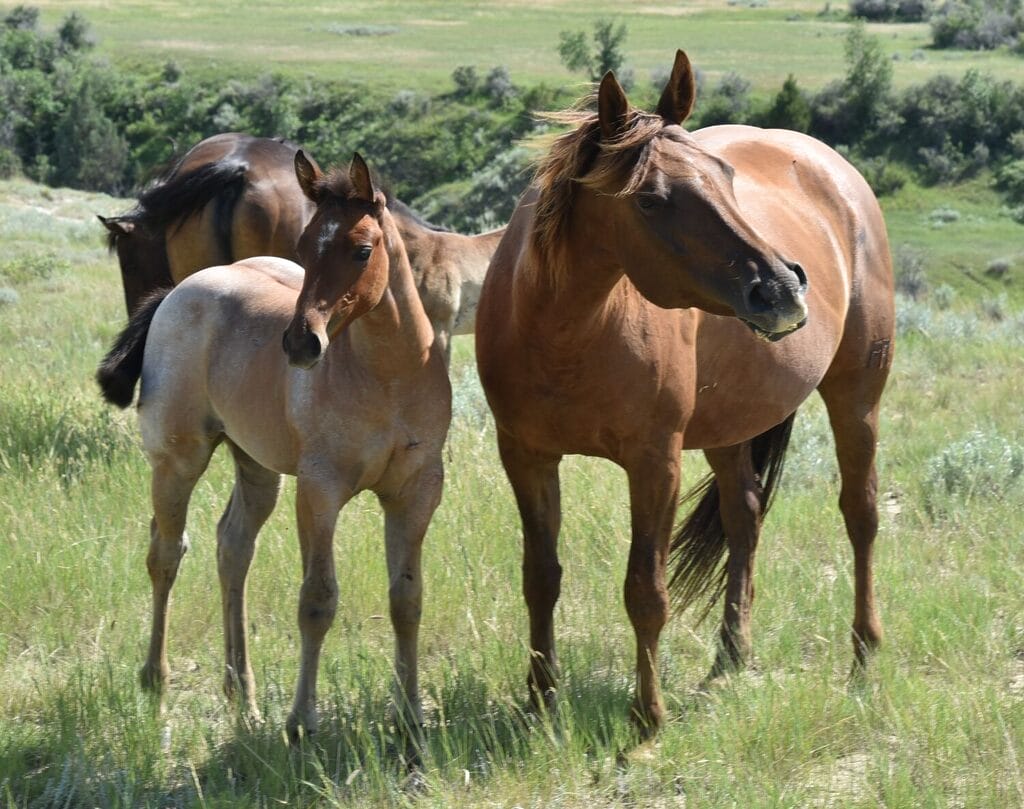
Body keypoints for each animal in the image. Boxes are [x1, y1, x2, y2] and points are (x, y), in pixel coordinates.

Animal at [96, 148, 452, 745]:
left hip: (256, 467)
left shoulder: (417, 489)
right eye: (304, 247)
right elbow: (317, 601)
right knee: (166, 552)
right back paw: (156, 681)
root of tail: (180, 290)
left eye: (362, 250)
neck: (388, 376)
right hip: (178, 459)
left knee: (232, 547)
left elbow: (408, 599)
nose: (301, 344)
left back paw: (243, 692)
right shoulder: (319, 490)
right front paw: (302, 721)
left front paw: (410, 717)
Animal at [475, 50, 892, 733]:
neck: (565, 333)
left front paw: (647, 716)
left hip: (857, 395)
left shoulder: (655, 462)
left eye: (725, 174)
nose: (782, 288)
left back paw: (863, 655)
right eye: (649, 200)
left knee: (861, 514)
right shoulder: (526, 456)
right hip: (732, 423)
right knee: (745, 516)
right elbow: (540, 576)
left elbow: (646, 589)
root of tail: (835, 169)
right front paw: (539, 700)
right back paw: (732, 655)